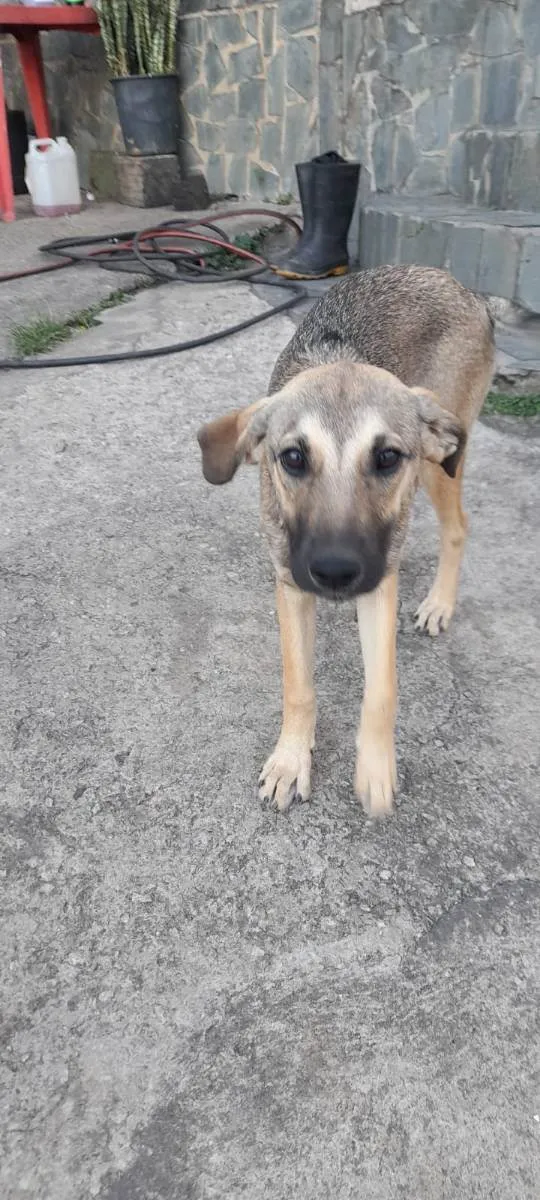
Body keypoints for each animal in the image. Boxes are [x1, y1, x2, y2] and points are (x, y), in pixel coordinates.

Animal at [196, 265, 494, 816]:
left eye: (387, 457)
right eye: (292, 458)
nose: (335, 572)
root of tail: (468, 291)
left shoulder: (379, 581)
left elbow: (382, 688)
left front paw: (375, 767)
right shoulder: (291, 582)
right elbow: (298, 684)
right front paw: (291, 758)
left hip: (440, 463)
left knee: (458, 527)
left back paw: (439, 603)